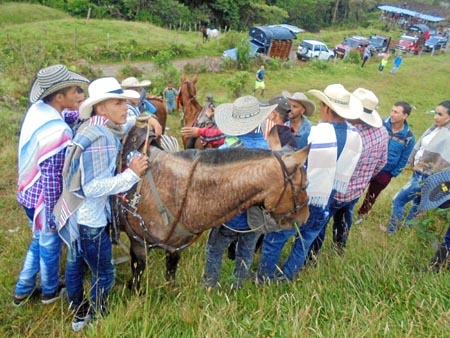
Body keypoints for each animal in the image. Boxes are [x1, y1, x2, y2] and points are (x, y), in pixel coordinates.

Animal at [116, 125, 310, 290]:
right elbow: (137, 280)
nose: (306, 217)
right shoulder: (138, 246)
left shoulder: (174, 248)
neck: (174, 188)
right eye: (304, 186)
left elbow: (171, 274)